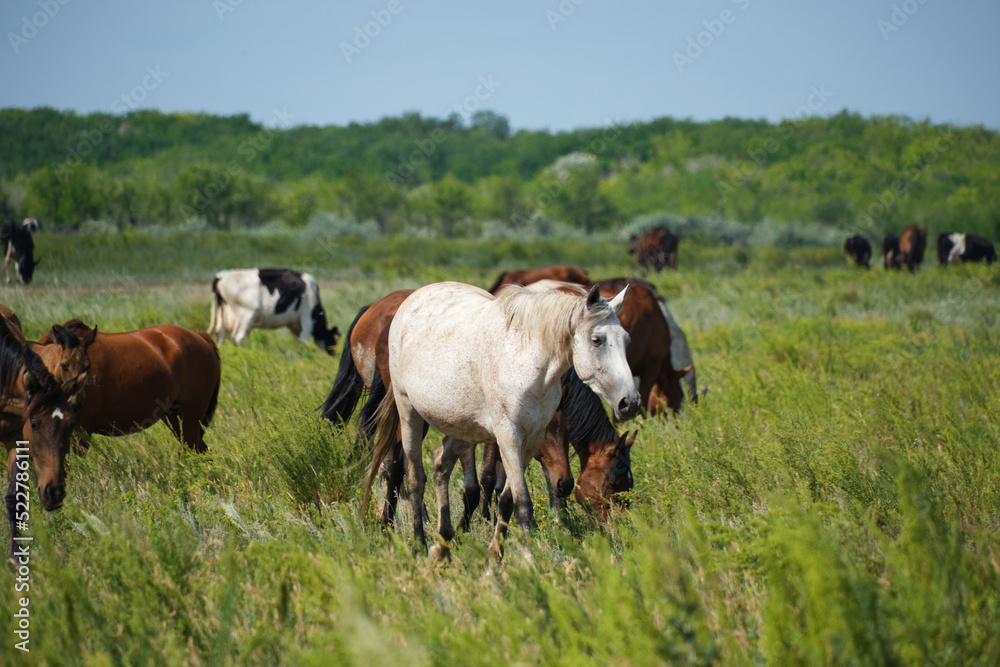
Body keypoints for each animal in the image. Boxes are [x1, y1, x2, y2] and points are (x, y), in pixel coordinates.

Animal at [0, 308, 77, 564]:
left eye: (71, 425)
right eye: (34, 423)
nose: (54, 492)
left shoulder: (15, 438)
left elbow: (15, 498)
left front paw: (15, 559)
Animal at [39, 320, 221, 454]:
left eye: (87, 367)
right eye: (63, 365)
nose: (74, 401)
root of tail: (199, 336)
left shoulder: (80, 431)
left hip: (188, 419)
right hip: (175, 418)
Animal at [207, 268, 340, 358]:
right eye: (332, 342)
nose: (331, 356)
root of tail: (221, 276)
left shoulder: (294, 325)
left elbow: (297, 342)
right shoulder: (307, 319)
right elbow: (303, 341)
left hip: (223, 314)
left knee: (220, 336)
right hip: (246, 314)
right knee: (239, 337)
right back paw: (248, 354)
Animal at [364, 280, 636, 560]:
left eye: (626, 339)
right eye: (597, 340)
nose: (629, 402)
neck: (525, 360)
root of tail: (409, 301)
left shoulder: (531, 440)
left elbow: (506, 499)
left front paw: (495, 554)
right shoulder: (508, 436)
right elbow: (522, 503)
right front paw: (528, 560)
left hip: (463, 428)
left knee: (441, 463)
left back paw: (442, 545)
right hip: (410, 413)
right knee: (414, 477)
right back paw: (418, 544)